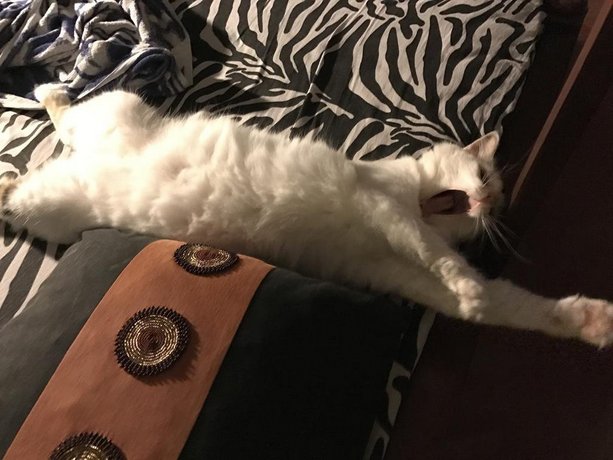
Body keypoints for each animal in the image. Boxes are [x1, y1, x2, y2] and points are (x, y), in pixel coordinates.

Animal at [1, 83, 612, 347]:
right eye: (483, 178)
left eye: (496, 203)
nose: (485, 206)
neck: (417, 195)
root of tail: (86, 158)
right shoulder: (382, 205)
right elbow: (434, 252)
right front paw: (468, 284)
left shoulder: (397, 272)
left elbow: (511, 306)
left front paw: (590, 321)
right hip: (111, 115)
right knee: (66, 110)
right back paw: (43, 92)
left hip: (48, 207)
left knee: (19, 181)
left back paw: (14, 162)